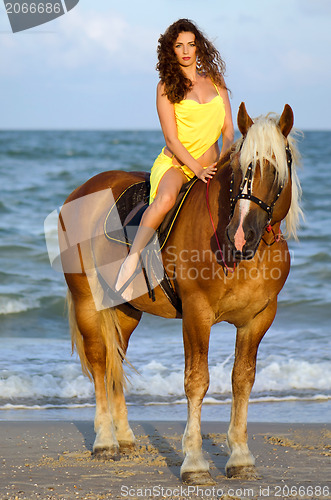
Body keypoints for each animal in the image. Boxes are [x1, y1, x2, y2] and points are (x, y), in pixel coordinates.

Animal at [57, 102, 304, 484]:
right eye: (238, 169)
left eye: (277, 169)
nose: (240, 235)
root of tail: (81, 191)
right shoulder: (197, 314)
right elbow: (197, 381)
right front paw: (194, 463)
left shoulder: (259, 319)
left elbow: (242, 380)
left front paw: (240, 457)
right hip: (86, 300)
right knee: (99, 361)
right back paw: (105, 441)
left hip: (127, 311)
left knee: (116, 361)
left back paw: (125, 438)